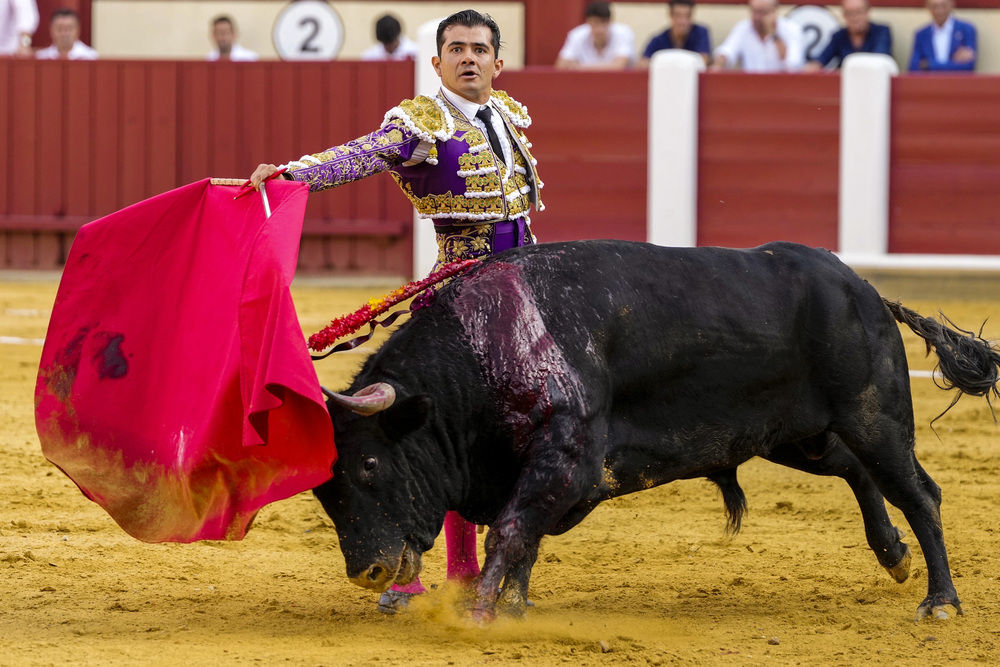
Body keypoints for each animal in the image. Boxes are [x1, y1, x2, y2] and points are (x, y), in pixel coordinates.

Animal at [312, 243, 1000, 624]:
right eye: (323, 488)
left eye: (369, 465)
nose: (368, 572)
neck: (488, 349)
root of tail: (865, 289)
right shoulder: (538, 468)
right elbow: (523, 538)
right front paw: (513, 607)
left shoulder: (566, 455)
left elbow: (510, 530)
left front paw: (481, 612)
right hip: (794, 435)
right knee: (858, 471)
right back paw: (893, 555)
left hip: (873, 416)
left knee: (919, 493)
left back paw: (940, 601)